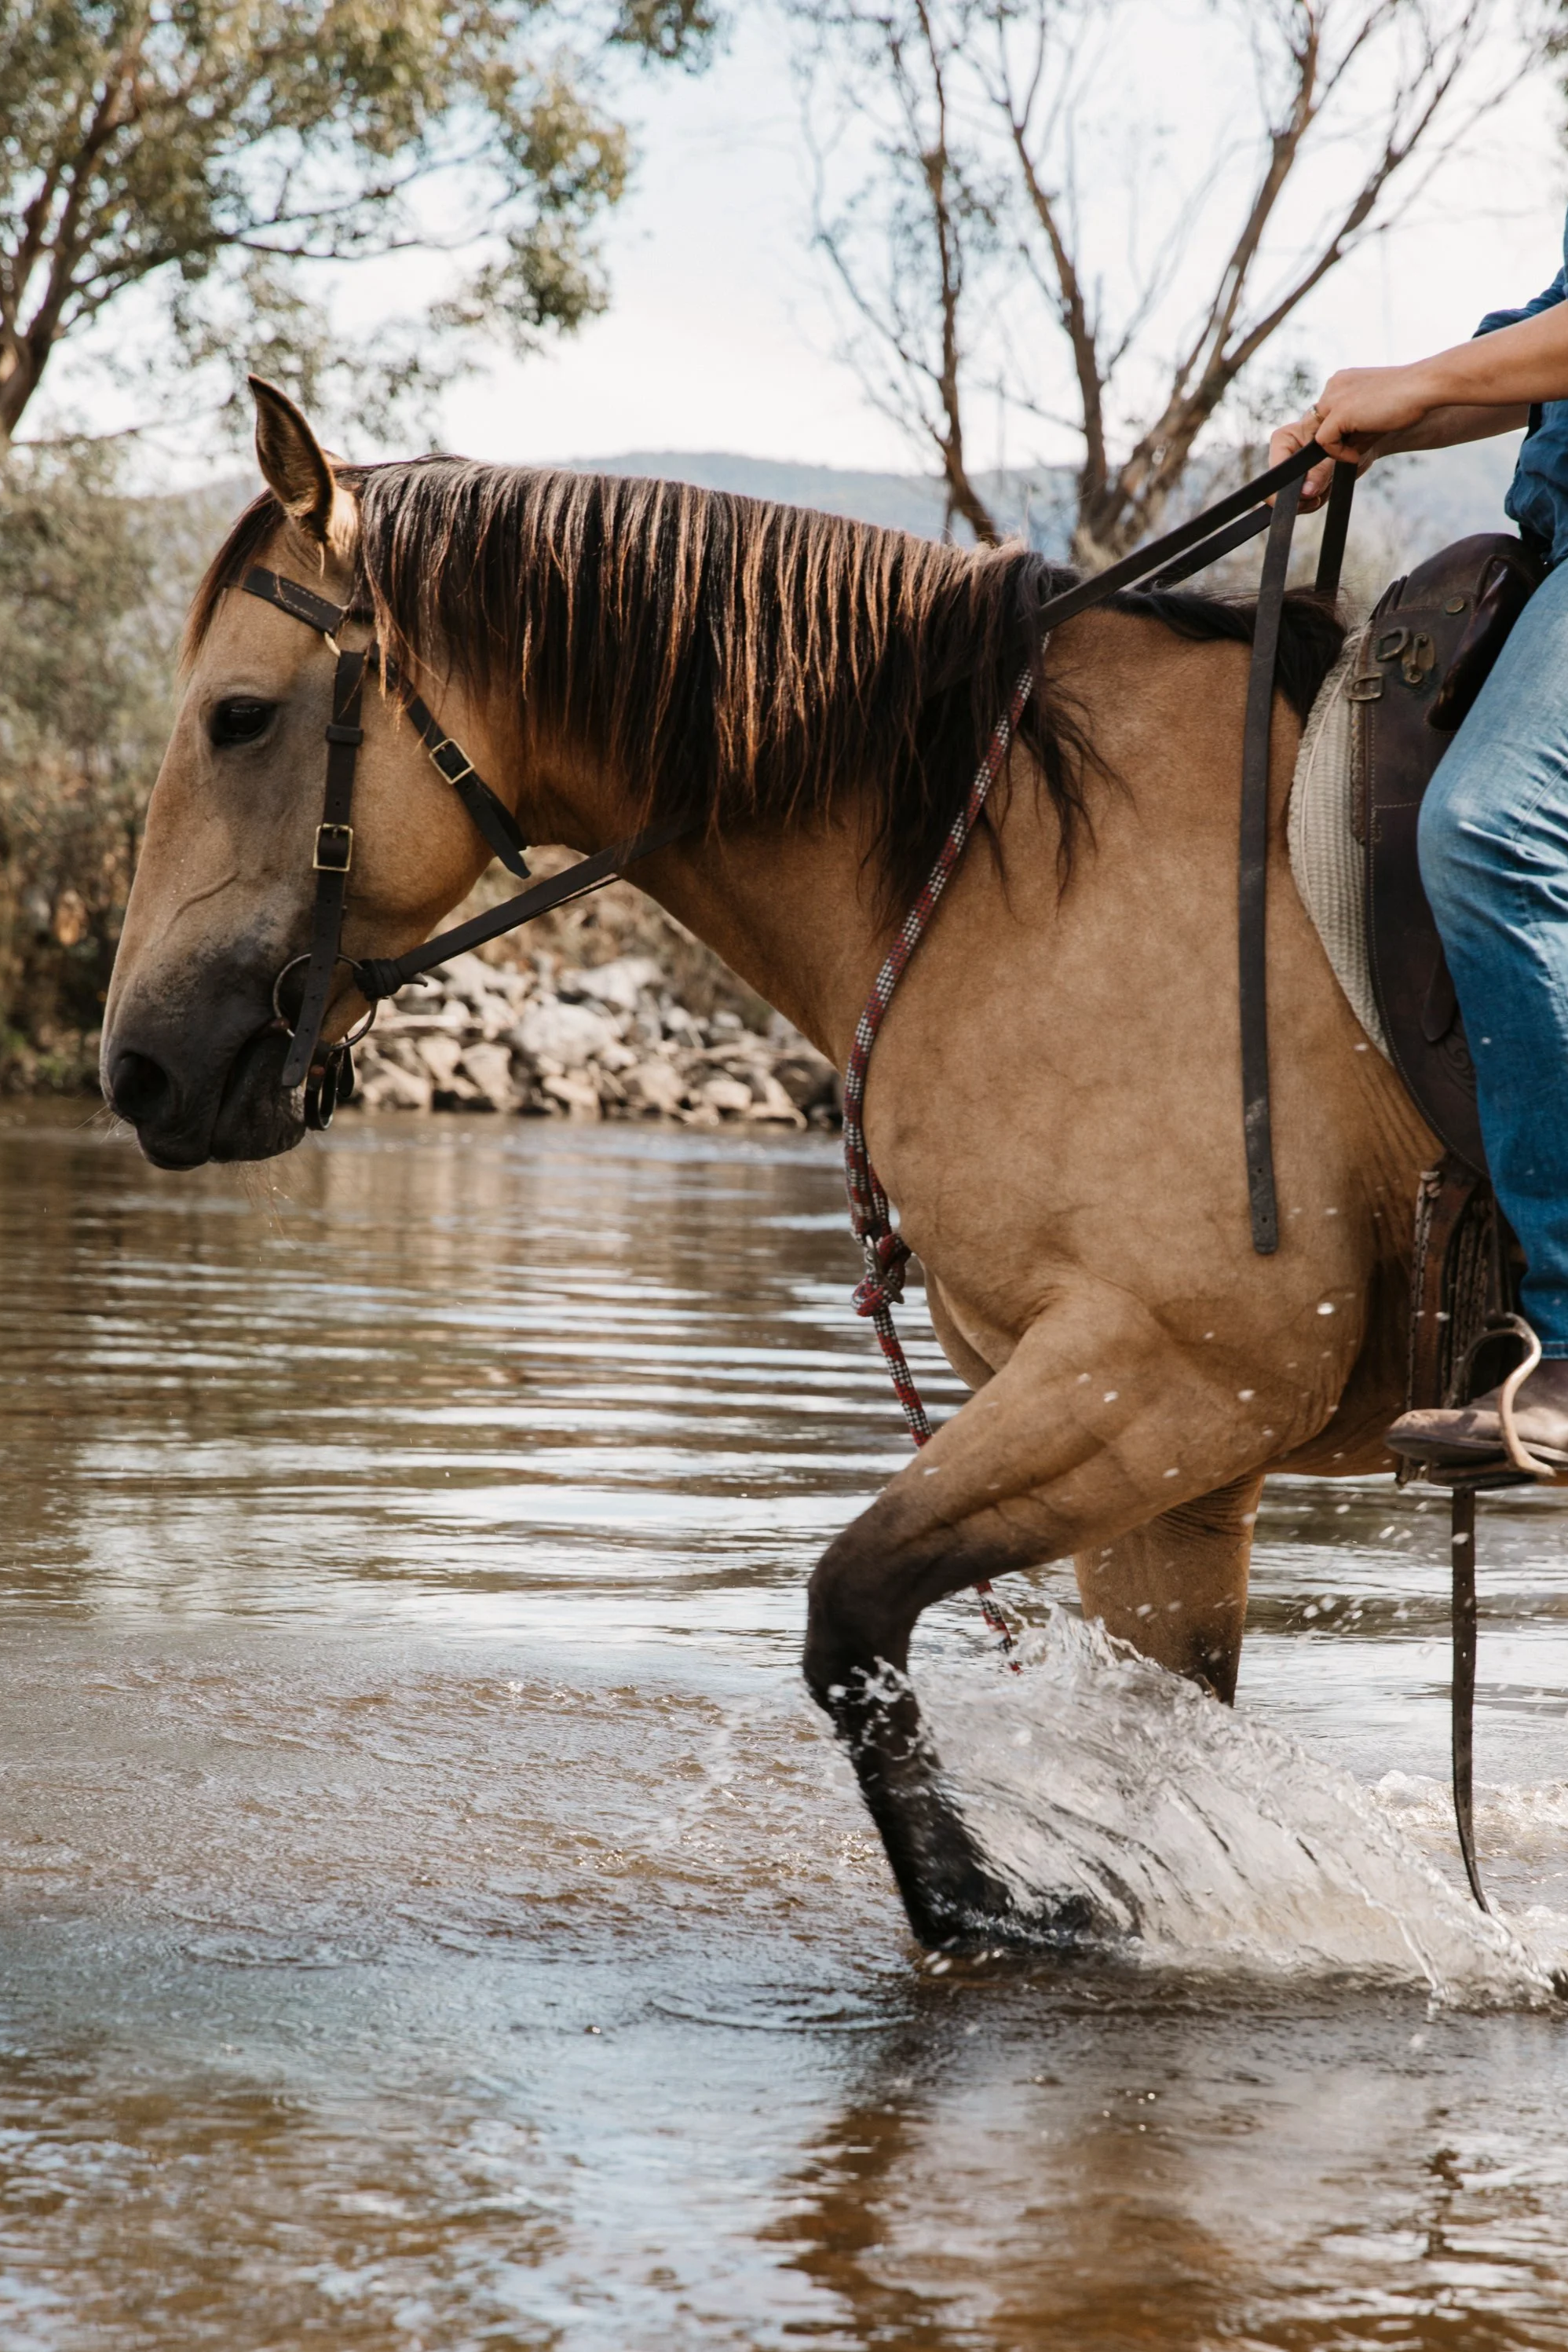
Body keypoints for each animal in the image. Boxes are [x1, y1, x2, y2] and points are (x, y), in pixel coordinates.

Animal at [101, 380, 1434, 1949]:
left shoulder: (1178, 1372)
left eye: (239, 718)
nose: (138, 1067)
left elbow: (850, 1612)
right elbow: (1151, 1738)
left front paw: (1003, 1907)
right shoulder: (1177, 1473)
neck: (1020, 864)